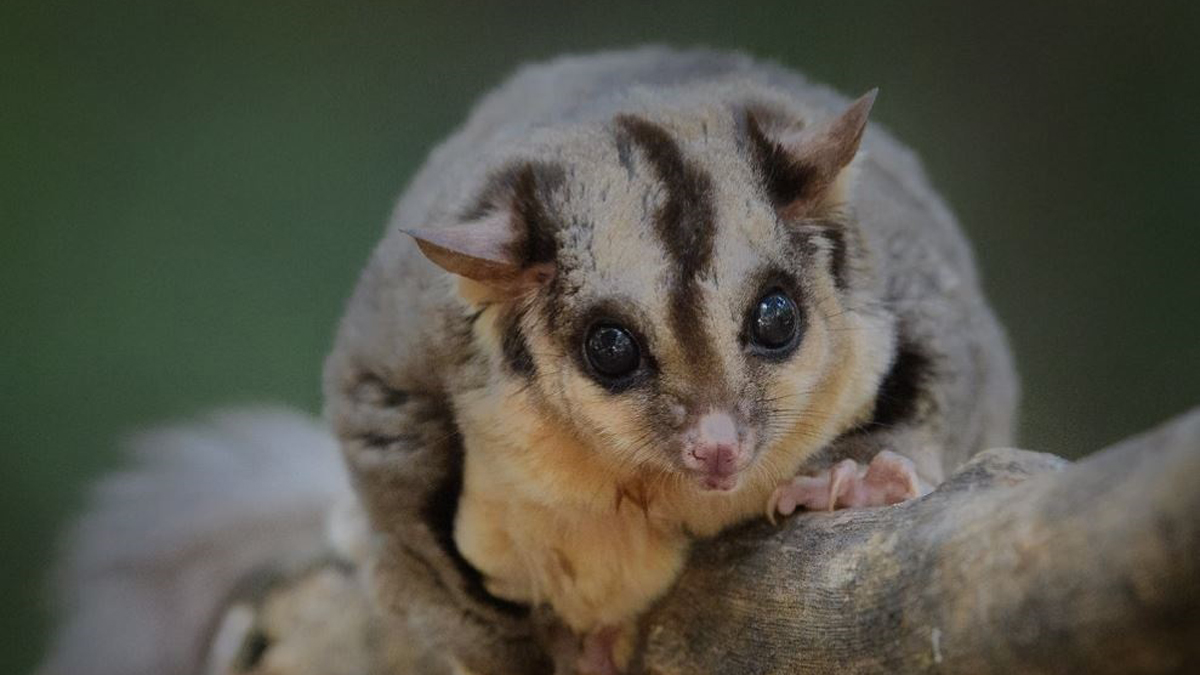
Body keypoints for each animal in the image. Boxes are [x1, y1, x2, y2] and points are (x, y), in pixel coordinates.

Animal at [37, 47, 1017, 675]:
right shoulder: (399, 351)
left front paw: (857, 476)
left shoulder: (911, 272)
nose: (718, 446)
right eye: (611, 348)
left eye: (776, 317)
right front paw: (537, 647)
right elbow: (398, 491)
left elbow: (960, 371)